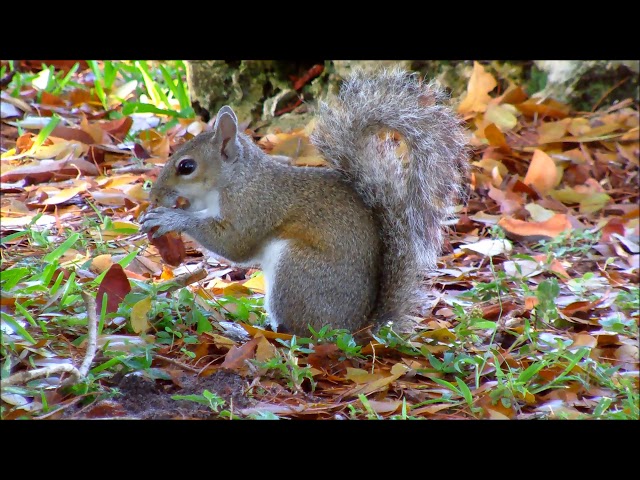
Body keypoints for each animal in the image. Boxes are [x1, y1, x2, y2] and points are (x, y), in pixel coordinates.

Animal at [140, 68, 468, 338]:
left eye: (186, 166)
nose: (154, 196)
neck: (238, 178)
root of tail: (356, 329)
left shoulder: (255, 205)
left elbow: (234, 244)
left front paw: (171, 218)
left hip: (296, 269)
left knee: (299, 332)